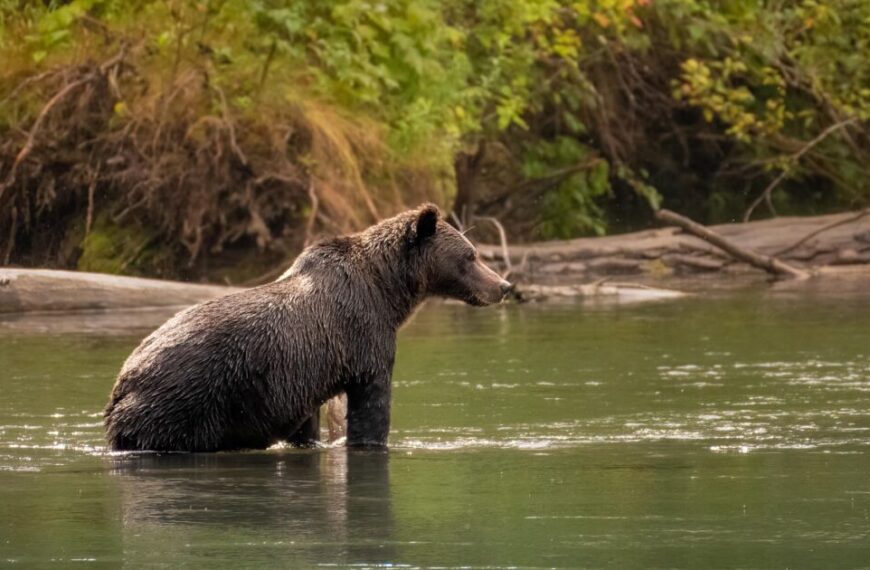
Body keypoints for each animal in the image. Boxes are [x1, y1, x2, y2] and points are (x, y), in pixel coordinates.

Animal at [103, 204, 512, 452]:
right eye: (470, 256)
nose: (504, 285)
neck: (386, 292)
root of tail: (123, 380)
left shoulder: (302, 377)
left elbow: (307, 424)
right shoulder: (365, 338)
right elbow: (373, 405)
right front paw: (370, 440)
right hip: (183, 401)